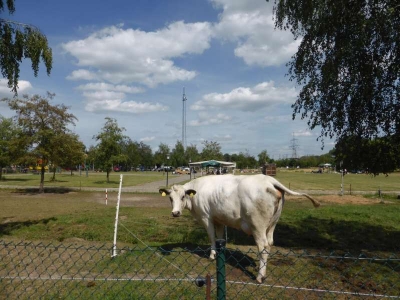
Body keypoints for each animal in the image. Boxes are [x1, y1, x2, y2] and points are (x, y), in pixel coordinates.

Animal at [159, 172, 318, 282]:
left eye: (183, 197)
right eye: (170, 198)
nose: (175, 213)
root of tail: (269, 180)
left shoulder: (206, 218)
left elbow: (211, 237)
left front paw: (212, 255)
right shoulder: (219, 219)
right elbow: (220, 237)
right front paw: (219, 252)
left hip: (258, 226)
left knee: (263, 246)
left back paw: (260, 276)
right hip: (272, 224)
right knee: (270, 243)